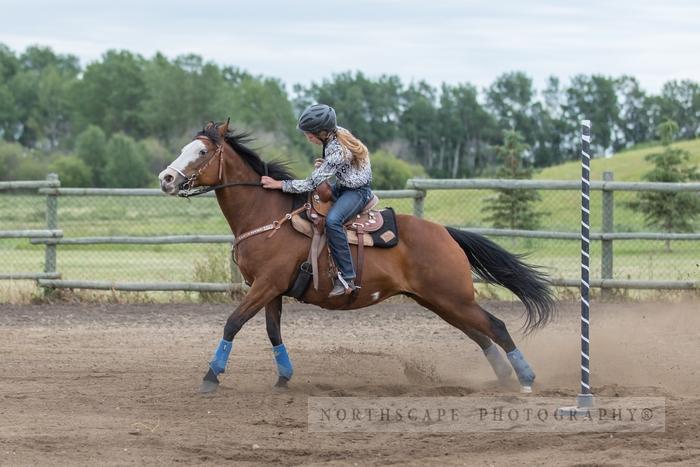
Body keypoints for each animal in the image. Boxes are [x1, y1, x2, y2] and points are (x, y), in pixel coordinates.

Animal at [157, 120, 552, 394]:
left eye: (202, 153)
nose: (166, 179)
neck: (266, 215)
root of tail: (445, 233)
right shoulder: (270, 290)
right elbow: (272, 332)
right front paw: (284, 377)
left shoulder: (266, 284)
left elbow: (233, 323)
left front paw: (211, 376)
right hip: (439, 300)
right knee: (479, 335)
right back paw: (504, 378)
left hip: (452, 297)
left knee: (495, 327)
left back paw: (526, 378)